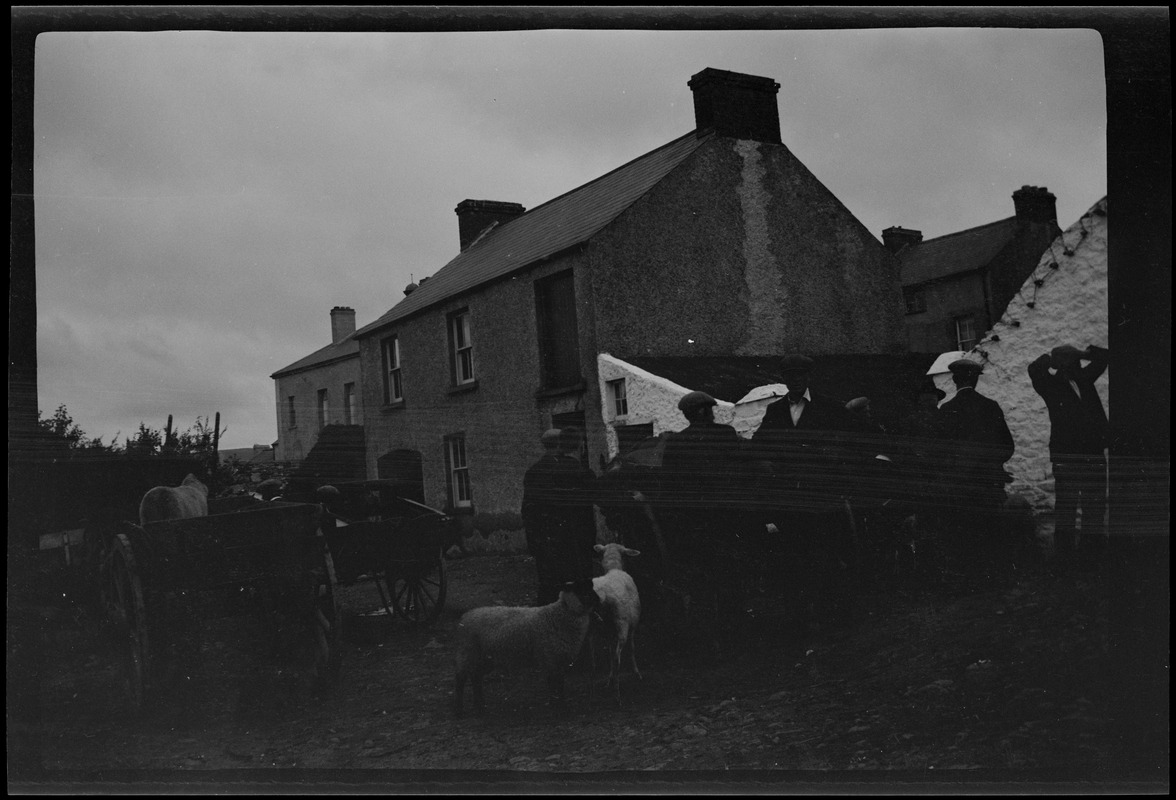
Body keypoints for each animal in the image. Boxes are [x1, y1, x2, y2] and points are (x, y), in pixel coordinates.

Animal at [449, 578, 597, 715]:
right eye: (584, 592)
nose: (598, 600)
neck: (562, 613)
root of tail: (465, 616)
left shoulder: (559, 661)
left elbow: (558, 685)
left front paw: (557, 706)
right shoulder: (551, 658)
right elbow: (556, 685)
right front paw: (560, 709)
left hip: (485, 657)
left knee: (476, 677)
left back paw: (480, 707)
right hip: (468, 652)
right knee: (460, 679)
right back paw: (458, 710)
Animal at [588, 541, 644, 701]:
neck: (614, 568)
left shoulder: (608, 632)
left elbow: (610, 652)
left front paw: (609, 678)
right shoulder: (633, 625)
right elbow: (632, 648)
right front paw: (636, 672)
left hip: (591, 627)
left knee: (593, 659)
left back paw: (595, 689)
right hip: (621, 624)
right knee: (617, 657)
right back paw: (617, 695)